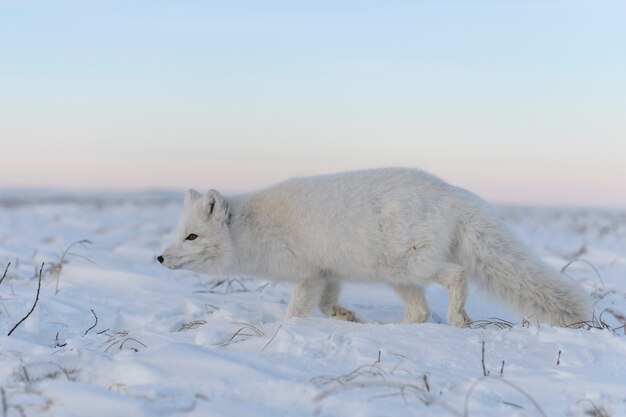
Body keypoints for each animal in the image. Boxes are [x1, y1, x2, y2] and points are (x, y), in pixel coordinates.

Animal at [158, 167, 588, 326]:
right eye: (176, 234)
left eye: (191, 237)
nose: (160, 257)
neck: (256, 228)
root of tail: (455, 195)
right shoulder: (327, 274)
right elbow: (326, 304)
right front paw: (346, 318)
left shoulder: (307, 275)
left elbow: (298, 311)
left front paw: (283, 332)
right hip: (399, 276)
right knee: (419, 312)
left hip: (412, 267)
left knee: (456, 277)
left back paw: (457, 318)